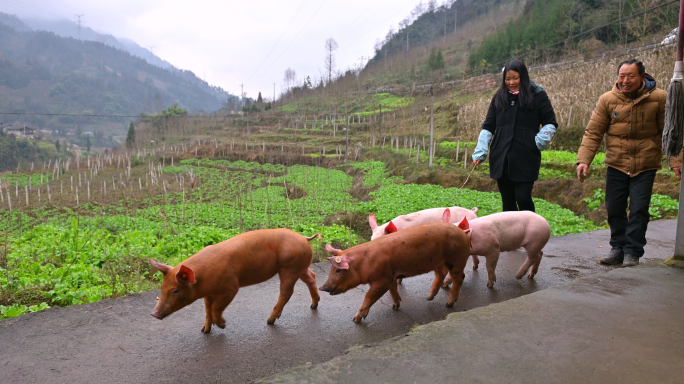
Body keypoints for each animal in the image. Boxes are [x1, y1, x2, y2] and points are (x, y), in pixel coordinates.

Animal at [150, 228, 320, 332]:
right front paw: (204, 330)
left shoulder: (231, 288)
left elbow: (216, 308)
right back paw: (313, 305)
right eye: (162, 287)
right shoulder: (208, 293)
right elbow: (207, 309)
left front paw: (223, 326)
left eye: (175, 290)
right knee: (311, 276)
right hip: (299, 266)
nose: (154, 314)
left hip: (290, 267)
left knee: (287, 291)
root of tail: (303, 237)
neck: (202, 279)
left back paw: (269, 321)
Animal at [320, 222, 470, 324]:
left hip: (456, 260)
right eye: (331, 269)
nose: (322, 287)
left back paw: (448, 304)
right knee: (441, 274)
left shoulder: (382, 281)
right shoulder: (390, 276)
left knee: (460, 278)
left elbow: (369, 297)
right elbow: (393, 291)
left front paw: (355, 320)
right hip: (439, 262)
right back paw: (428, 298)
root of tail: (463, 234)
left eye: (338, 270)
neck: (364, 263)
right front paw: (395, 307)